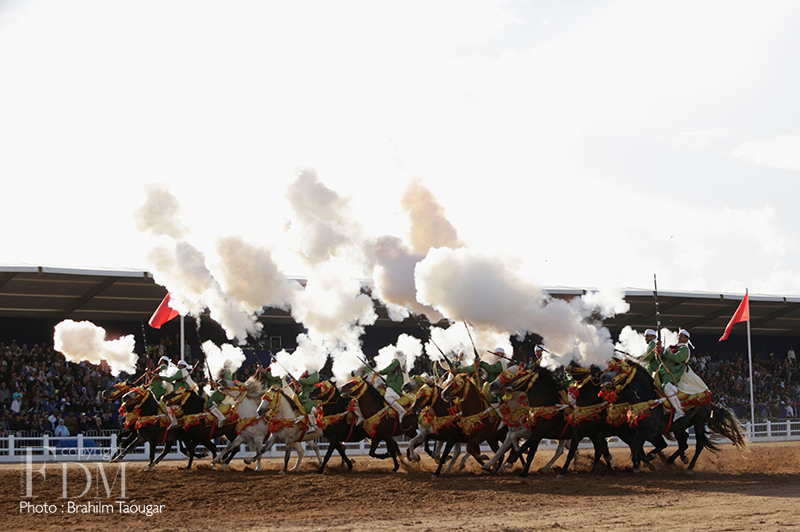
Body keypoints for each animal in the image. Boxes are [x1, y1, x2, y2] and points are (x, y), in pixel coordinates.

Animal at [600, 358, 752, 474]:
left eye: (619, 369)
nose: (601, 377)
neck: (647, 399)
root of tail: (709, 402)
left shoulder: (647, 432)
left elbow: (638, 445)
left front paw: (641, 462)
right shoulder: (638, 431)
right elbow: (636, 447)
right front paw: (646, 459)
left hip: (699, 423)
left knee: (699, 445)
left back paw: (690, 466)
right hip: (680, 427)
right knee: (683, 443)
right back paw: (672, 461)